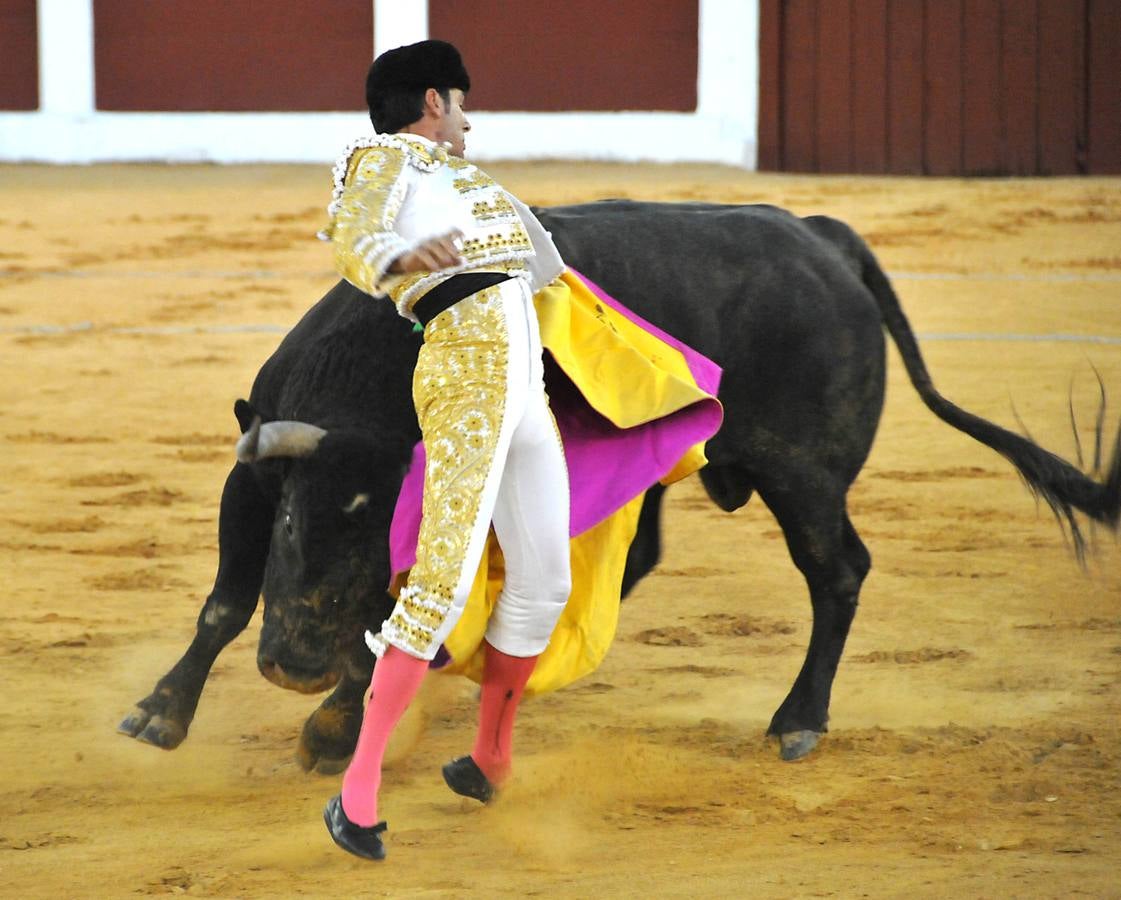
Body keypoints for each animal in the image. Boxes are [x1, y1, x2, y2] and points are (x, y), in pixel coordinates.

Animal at [118, 200, 1116, 771]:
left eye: (386, 546)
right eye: (291, 524)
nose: (295, 668)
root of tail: (820, 239)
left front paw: (333, 728)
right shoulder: (249, 479)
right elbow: (222, 603)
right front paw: (158, 715)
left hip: (803, 475)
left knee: (835, 572)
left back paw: (798, 720)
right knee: (637, 561)